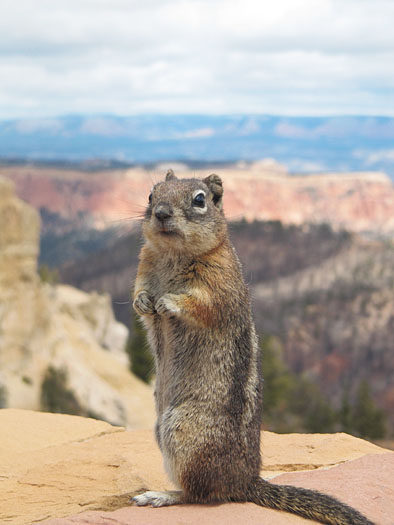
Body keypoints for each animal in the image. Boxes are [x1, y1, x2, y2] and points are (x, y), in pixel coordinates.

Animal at [132, 171, 372, 524]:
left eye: (200, 200)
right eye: (151, 195)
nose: (160, 213)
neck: (172, 254)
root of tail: (246, 481)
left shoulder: (219, 285)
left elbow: (201, 306)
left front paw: (167, 302)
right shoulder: (144, 264)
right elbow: (138, 293)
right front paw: (144, 302)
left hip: (183, 432)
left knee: (201, 495)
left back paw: (161, 494)